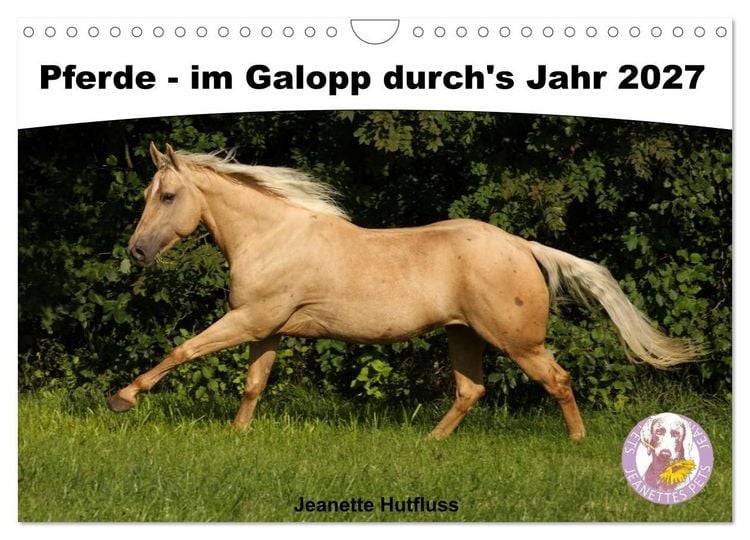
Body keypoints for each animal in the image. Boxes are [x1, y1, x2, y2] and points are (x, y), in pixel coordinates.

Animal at [107, 143, 702, 441]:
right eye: (147, 194)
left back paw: (576, 444)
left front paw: (123, 397)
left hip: (517, 341)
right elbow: (254, 384)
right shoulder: (267, 328)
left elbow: (182, 349)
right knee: (471, 391)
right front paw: (237, 435)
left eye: (168, 196)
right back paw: (432, 443)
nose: (136, 253)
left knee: (557, 379)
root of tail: (522, 245)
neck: (272, 237)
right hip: (464, 336)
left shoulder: (251, 320)